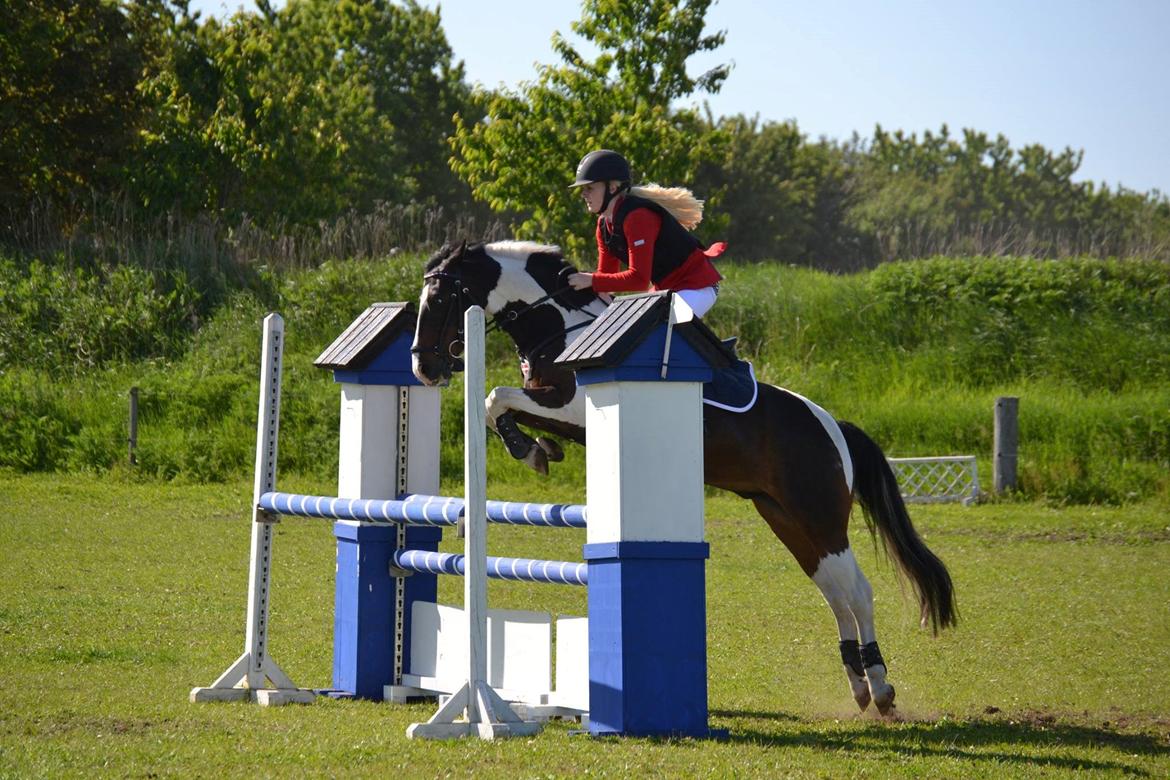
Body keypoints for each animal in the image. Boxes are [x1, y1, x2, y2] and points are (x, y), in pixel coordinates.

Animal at [407, 236, 954, 715]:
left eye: (441, 297)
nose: (424, 369)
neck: (560, 328)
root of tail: (833, 427)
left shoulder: (570, 406)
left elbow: (494, 396)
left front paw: (531, 451)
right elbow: (495, 403)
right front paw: (539, 449)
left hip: (819, 514)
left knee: (857, 591)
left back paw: (881, 689)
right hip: (785, 518)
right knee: (835, 593)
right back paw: (859, 687)